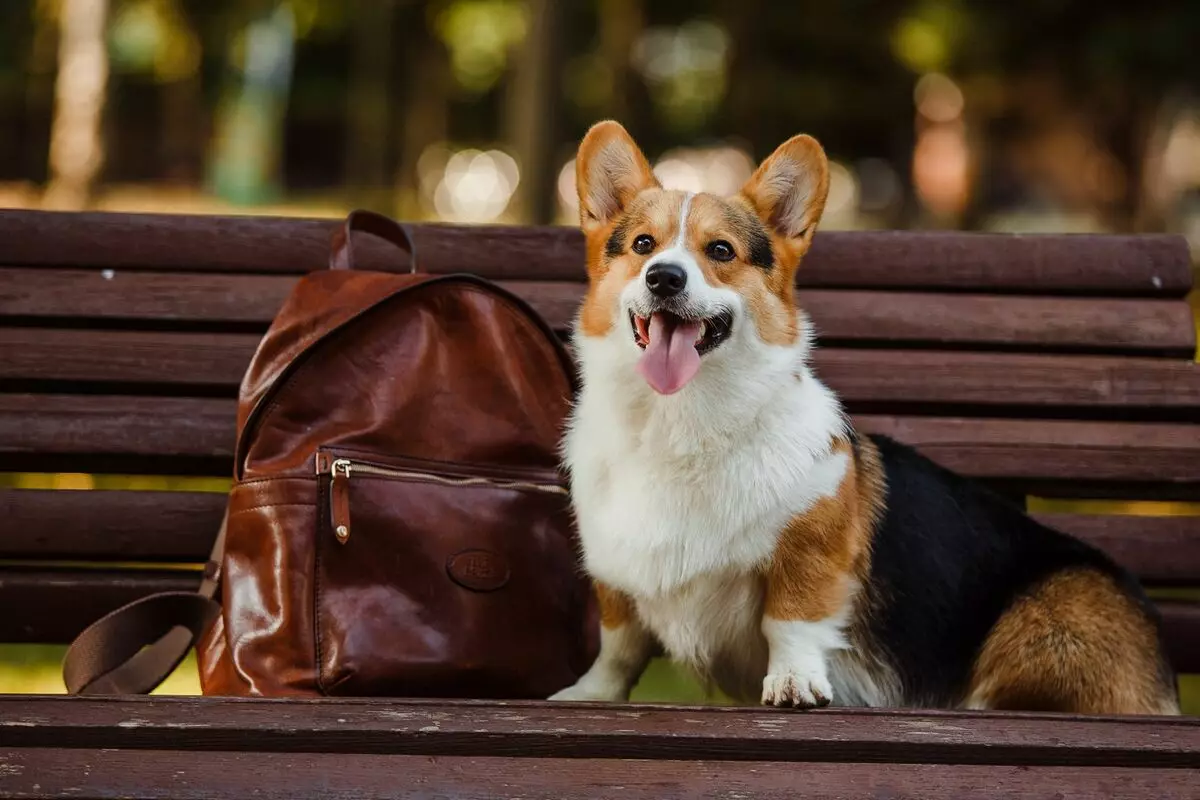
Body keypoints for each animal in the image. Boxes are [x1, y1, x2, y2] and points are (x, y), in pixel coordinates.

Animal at [549, 120, 1180, 714]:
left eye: (721, 251)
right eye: (642, 244)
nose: (664, 277)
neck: (678, 424)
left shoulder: (812, 549)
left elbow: (791, 620)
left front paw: (794, 683)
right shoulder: (615, 574)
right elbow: (619, 643)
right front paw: (591, 693)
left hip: (1043, 629)